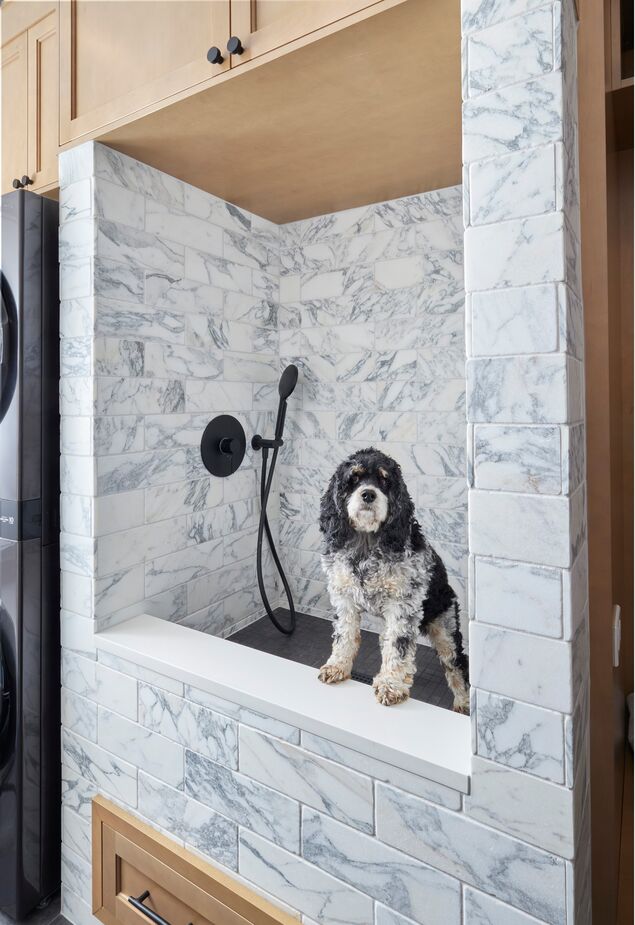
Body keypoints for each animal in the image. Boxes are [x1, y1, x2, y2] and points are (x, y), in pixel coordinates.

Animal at [320, 448, 470, 716]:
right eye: (354, 478)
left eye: (384, 480)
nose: (368, 494)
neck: (366, 544)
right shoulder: (344, 599)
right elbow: (344, 636)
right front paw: (336, 667)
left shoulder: (403, 605)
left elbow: (399, 648)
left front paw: (391, 685)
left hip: (445, 626)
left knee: (457, 664)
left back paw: (463, 704)